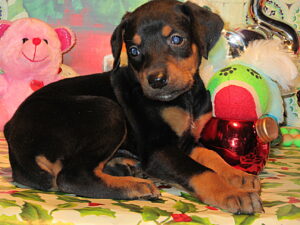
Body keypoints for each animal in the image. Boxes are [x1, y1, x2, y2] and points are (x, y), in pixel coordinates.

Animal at [4, 0, 262, 214]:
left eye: (176, 39)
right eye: (134, 51)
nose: (156, 81)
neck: (185, 99)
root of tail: (13, 134)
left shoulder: (188, 141)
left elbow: (212, 156)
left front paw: (239, 176)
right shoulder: (158, 149)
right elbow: (199, 170)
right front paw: (232, 194)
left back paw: (127, 168)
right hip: (107, 110)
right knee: (71, 176)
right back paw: (136, 185)